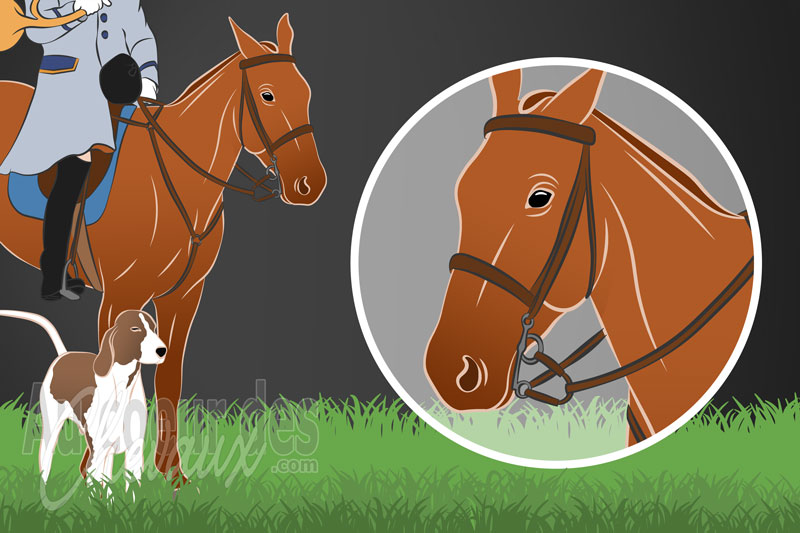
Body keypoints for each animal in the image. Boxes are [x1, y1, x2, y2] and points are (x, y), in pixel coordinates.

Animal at [0, 13, 326, 483]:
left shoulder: (183, 296)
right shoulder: (121, 297)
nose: (309, 185)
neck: (175, 177)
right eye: (267, 95)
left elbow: (169, 379)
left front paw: (171, 473)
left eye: (306, 92)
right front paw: (92, 472)